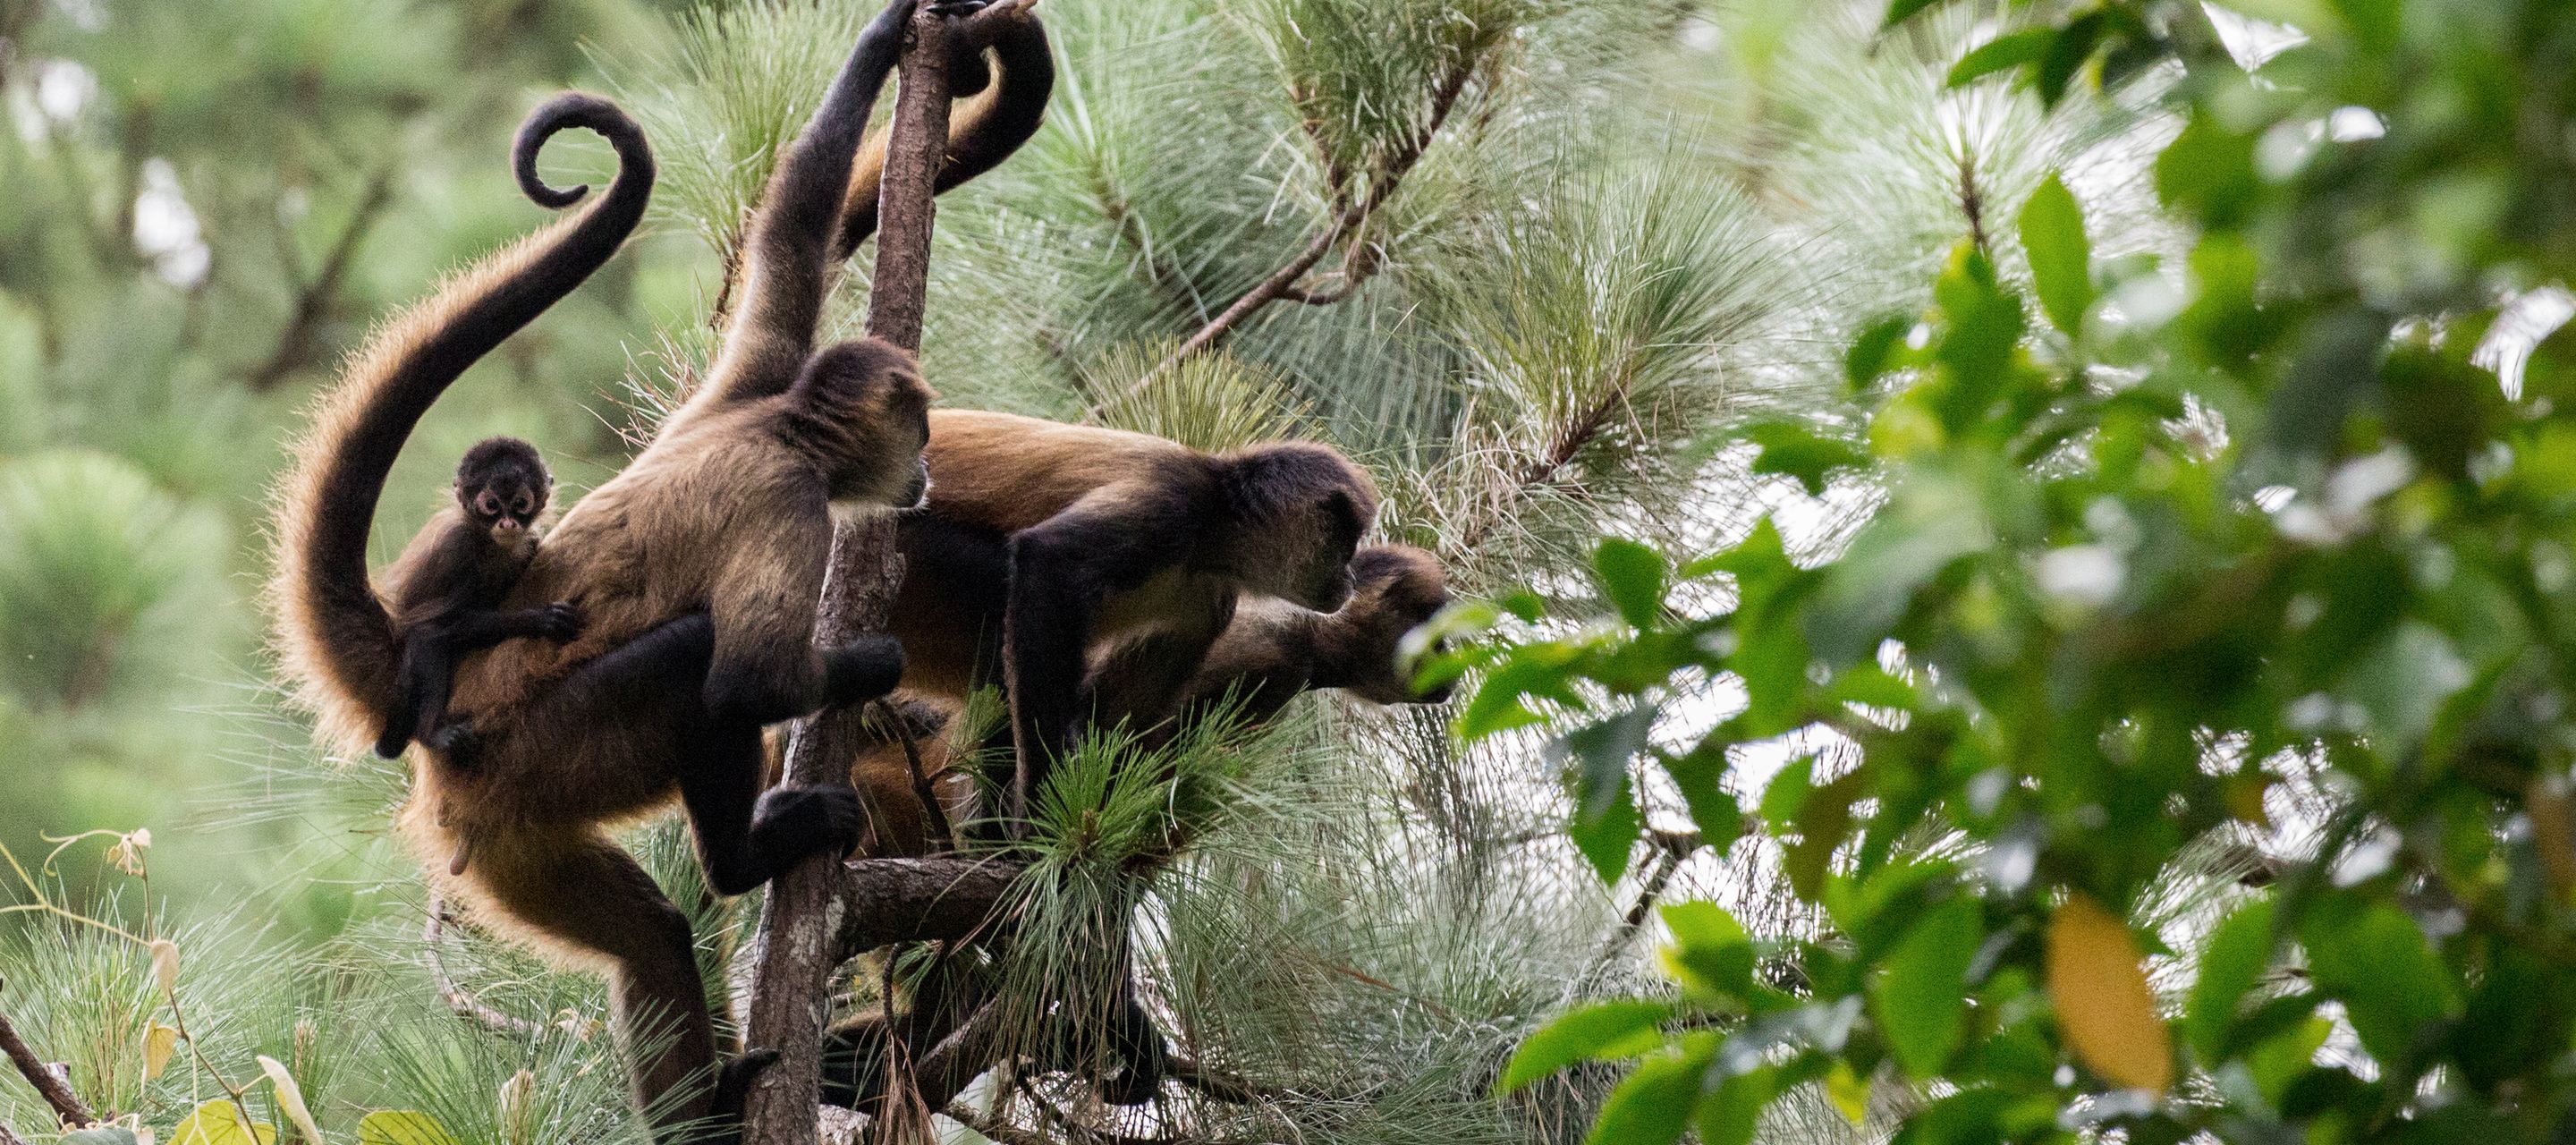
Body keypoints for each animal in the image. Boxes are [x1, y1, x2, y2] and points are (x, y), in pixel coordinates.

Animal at [371, 437, 582, 762]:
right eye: (491, 505)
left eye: (521, 504)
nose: (508, 524)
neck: (487, 540)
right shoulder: (456, 547)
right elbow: (436, 624)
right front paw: (539, 618)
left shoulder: (530, 540)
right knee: (429, 636)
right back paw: (431, 734)